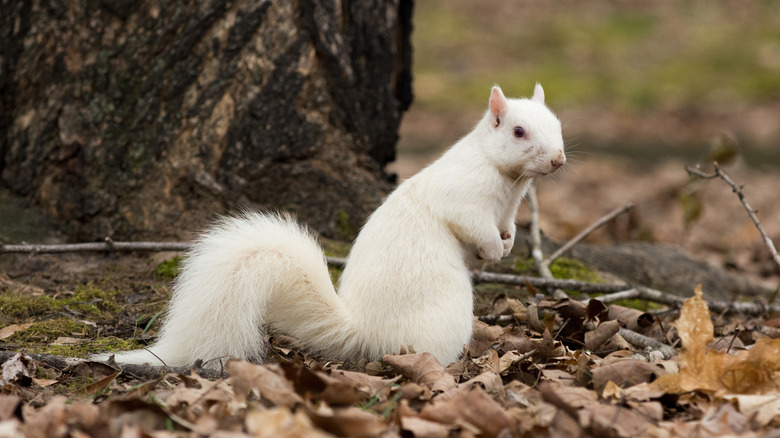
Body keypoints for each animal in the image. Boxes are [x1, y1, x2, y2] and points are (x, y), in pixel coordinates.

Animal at [97, 84, 564, 368]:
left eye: (558, 124)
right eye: (519, 132)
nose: (559, 160)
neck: (508, 181)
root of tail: (363, 333)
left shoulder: (507, 209)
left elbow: (507, 228)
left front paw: (508, 244)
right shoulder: (463, 197)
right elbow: (473, 226)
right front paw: (493, 250)